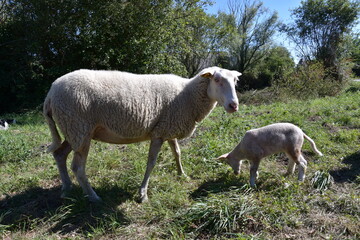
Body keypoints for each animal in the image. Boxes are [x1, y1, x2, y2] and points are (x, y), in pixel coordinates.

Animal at [44, 66, 242, 202]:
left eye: (235, 81)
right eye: (216, 79)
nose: (234, 105)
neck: (187, 95)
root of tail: (51, 92)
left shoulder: (168, 128)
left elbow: (177, 153)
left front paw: (182, 174)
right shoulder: (159, 134)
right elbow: (151, 163)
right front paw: (143, 193)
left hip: (74, 131)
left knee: (59, 154)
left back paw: (67, 188)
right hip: (78, 127)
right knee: (78, 168)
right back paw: (93, 197)